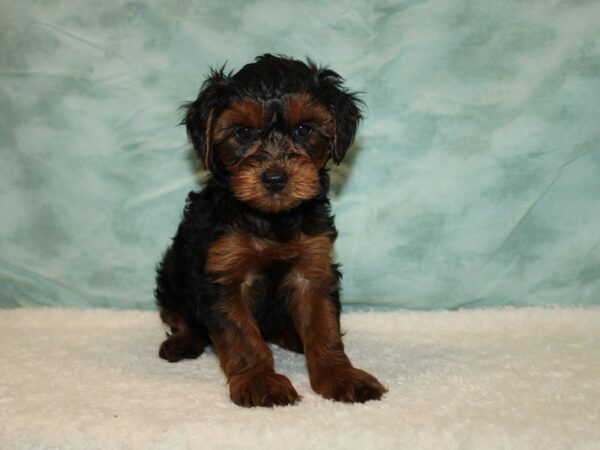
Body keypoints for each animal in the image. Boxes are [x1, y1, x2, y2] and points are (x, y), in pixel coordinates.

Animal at [155, 53, 386, 408]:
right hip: (170, 273)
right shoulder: (223, 275)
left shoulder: (313, 269)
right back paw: (183, 341)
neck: (271, 219)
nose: (275, 178)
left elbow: (324, 328)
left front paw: (340, 375)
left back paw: (293, 337)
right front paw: (259, 381)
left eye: (304, 129)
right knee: (178, 314)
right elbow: (242, 337)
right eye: (243, 132)